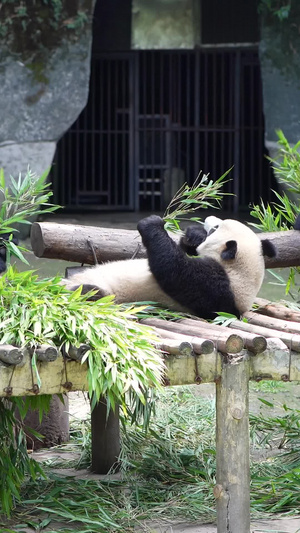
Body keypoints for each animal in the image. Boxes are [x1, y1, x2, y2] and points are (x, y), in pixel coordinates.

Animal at [63, 214, 276, 318]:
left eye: (216, 228)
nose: (208, 220)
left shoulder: (216, 289)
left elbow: (176, 272)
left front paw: (152, 223)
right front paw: (194, 235)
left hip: (108, 294)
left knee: (91, 293)